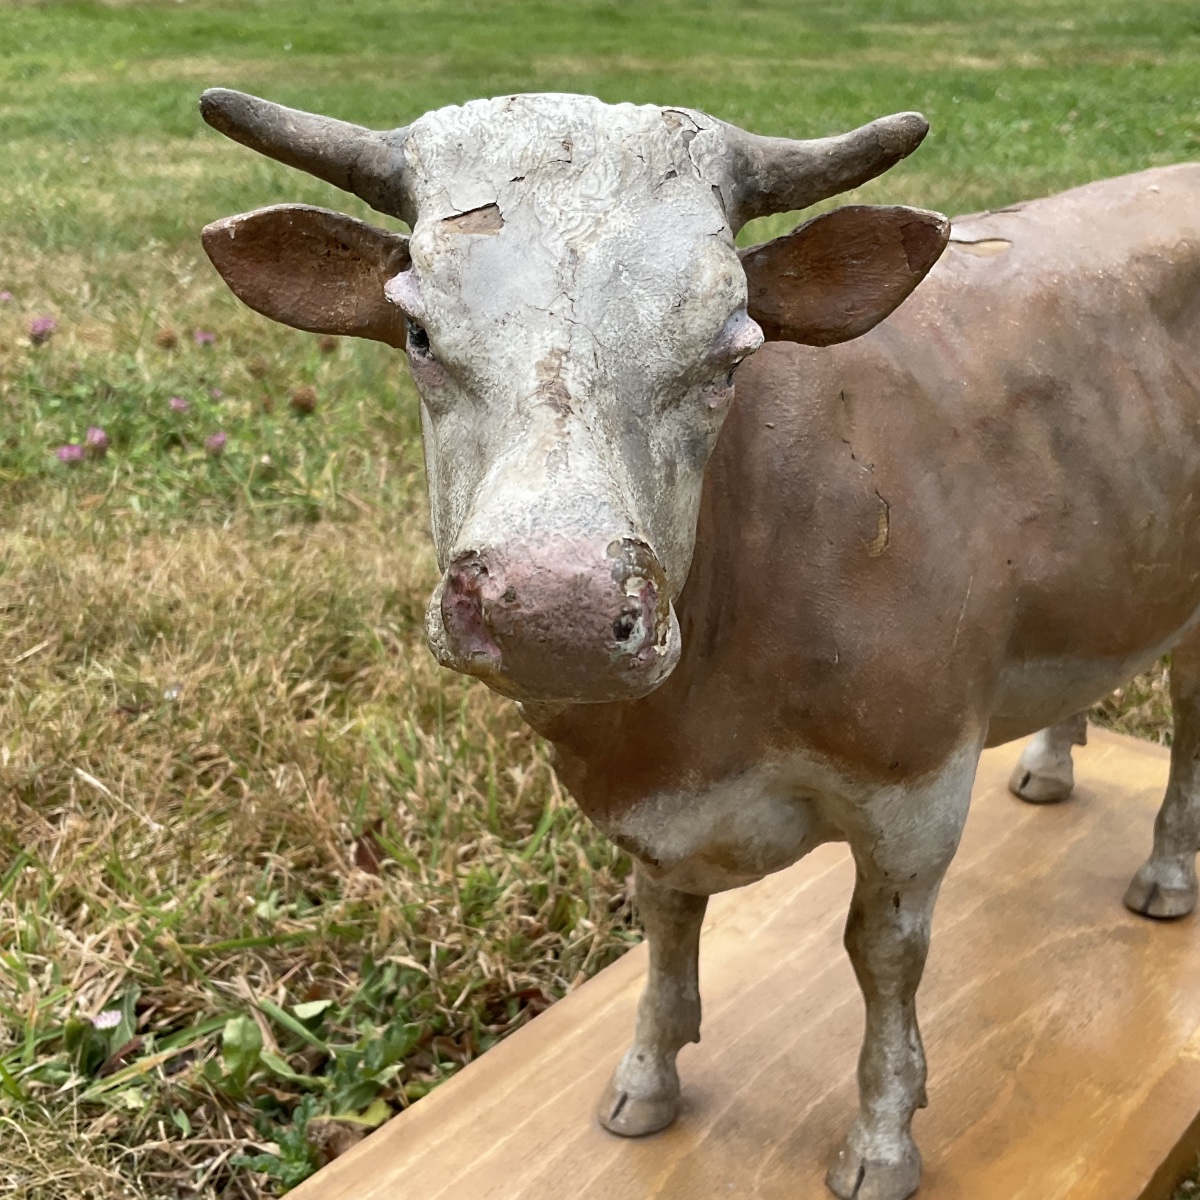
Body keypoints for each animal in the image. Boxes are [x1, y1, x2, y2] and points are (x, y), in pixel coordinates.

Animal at [197, 87, 1200, 1200]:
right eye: (417, 333)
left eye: (731, 347)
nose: (554, 609)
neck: (689, 724)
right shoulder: (654, 810)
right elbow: (666, 926)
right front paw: (646, 1081)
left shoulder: (920, 778)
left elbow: (884, 956)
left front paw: (882, 1137)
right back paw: (1051, 765)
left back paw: (1165, 877)